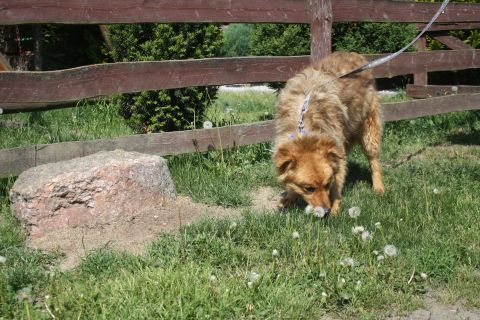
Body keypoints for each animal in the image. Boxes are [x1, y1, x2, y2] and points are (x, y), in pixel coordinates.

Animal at [272, 52, 384, 215]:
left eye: (327, 184)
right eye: (309, 189)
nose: (325, 211)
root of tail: (357, 55)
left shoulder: (337, 151)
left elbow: (337, 182)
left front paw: (335, 210)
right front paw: (288, 198)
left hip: (369, 130)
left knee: (374, 161)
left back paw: (379, 188)